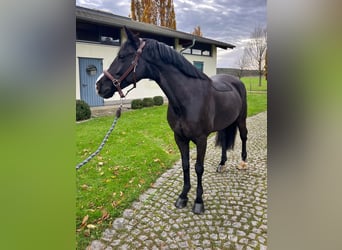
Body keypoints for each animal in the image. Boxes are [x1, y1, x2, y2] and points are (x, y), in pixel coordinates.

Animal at [95, 27, 247, 215]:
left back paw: (243, 162)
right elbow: (185, 165)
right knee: (225, 140)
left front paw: (198, 202)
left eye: (123, 56)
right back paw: (222, 164)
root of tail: (235, 81)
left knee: (244, 137)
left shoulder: (201, 139)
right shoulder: (179, 138)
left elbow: (198, 168)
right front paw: (183, 196)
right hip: (225, 123)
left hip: (241, 119)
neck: (188, 98)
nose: (99, 86)